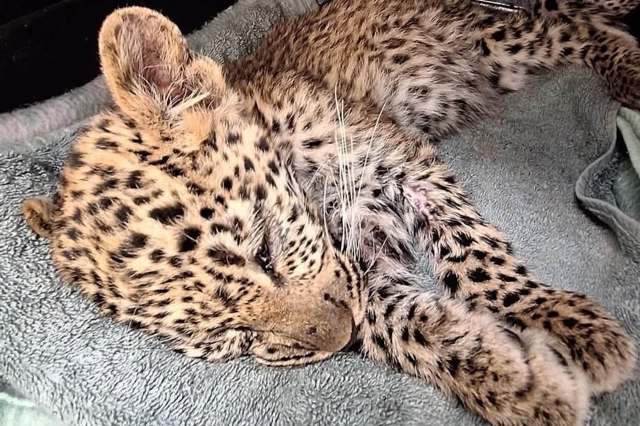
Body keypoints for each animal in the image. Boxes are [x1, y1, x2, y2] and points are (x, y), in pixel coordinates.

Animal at [21, 1, 639, 425]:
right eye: (229, 339)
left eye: (267, 251)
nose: (339, 342)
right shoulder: (367, 262)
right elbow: (404, 325)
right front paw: (522, 385)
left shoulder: (404, 166)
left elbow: (477, 263)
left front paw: (569, 328)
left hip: (496, 42)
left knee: (573, 28)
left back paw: (629, 70)